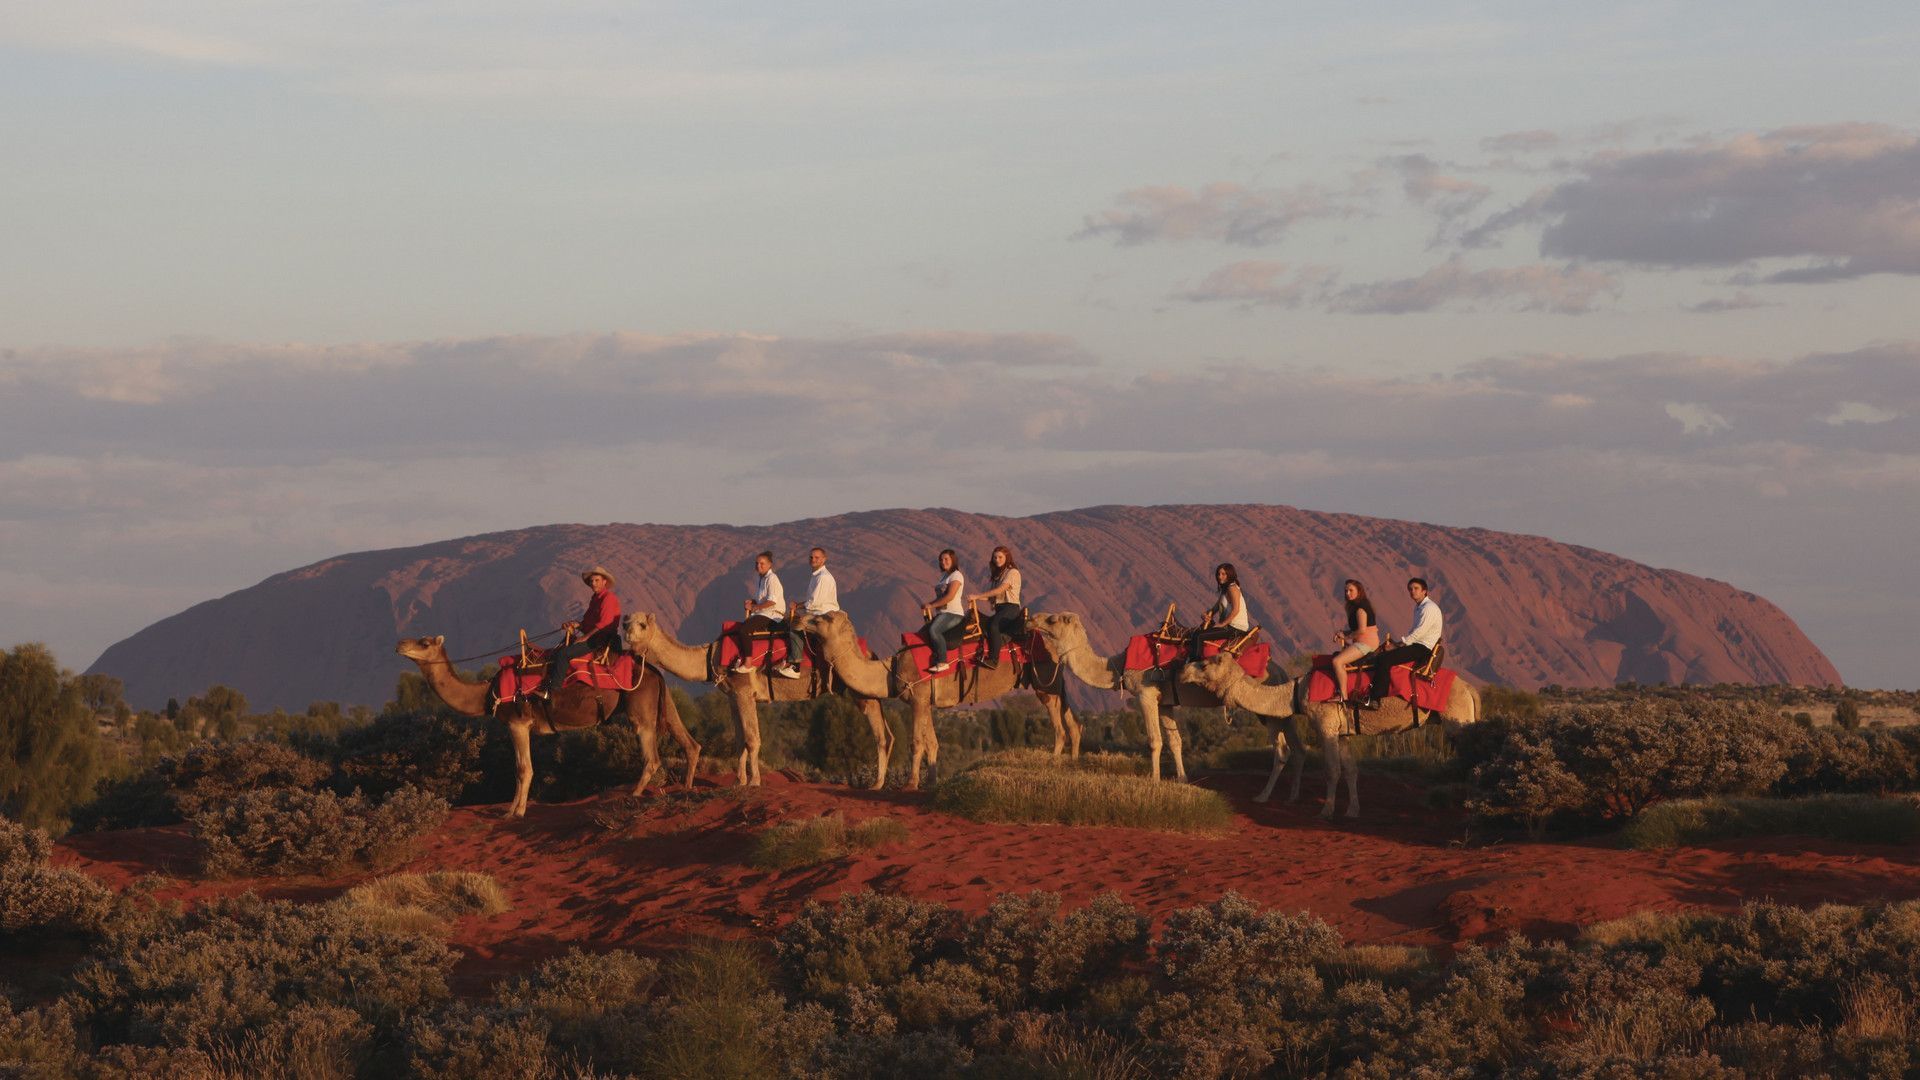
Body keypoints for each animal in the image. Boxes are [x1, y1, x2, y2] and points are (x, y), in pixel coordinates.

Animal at [393, 630, 702, 814]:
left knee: (652, 755)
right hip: (662, 699)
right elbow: (524, 768)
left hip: (640, 707)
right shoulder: (519, 726)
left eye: (423, 643)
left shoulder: (517, 722)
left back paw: (634, 795)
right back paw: (686, 788)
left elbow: (523, 769)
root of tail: (652, 670)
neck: (487, 692)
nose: (399, 644)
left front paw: (514, 812)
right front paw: (514, 809)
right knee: (690, 742)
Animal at [625, 611, 902, 787]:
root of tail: (868, 650)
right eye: (625, 622)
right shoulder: (733, 696)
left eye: (641, 625)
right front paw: (738, 782)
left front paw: (754, 782)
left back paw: (877, 784)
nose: (626, 634)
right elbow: (740, 740)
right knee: (887, 732)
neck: (710, 656)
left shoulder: (743, 690)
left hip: (857, 690)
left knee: (880, 732)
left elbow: (752, 738)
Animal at [794, 611, 1082, 787]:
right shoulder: (927, 703)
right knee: (1072, 722)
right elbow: (932, 742)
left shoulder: (918, 698)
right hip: (1054, 682)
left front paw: (911, 784)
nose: (799, 618)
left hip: (1044, 682)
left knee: (1059, 725)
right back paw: (1072, 763)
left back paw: (1055, 765)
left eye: (823, 618)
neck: (890, 670)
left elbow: (916, 742)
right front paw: (931, 783)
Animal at [1021, 611, 1290, 776]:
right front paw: (1182, 779)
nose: (1031, 619)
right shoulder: (1165, 702)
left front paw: (1155, 780)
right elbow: (1175, 741)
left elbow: (1154, 740)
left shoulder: (1145, 694)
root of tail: (1278, 669)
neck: (1118, 665)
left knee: (1282, 748)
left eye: (1052, 620)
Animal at [1167, 645, 1482, 814]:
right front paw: (1352, 810)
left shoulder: (1325, 724)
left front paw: (1327, 810)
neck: (1296, 692)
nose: (1182, 671)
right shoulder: (1341, 732)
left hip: (1457, 720)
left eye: (1207, 663)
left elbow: (1331, 770)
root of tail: (1471, 690)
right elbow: (1350, 770)